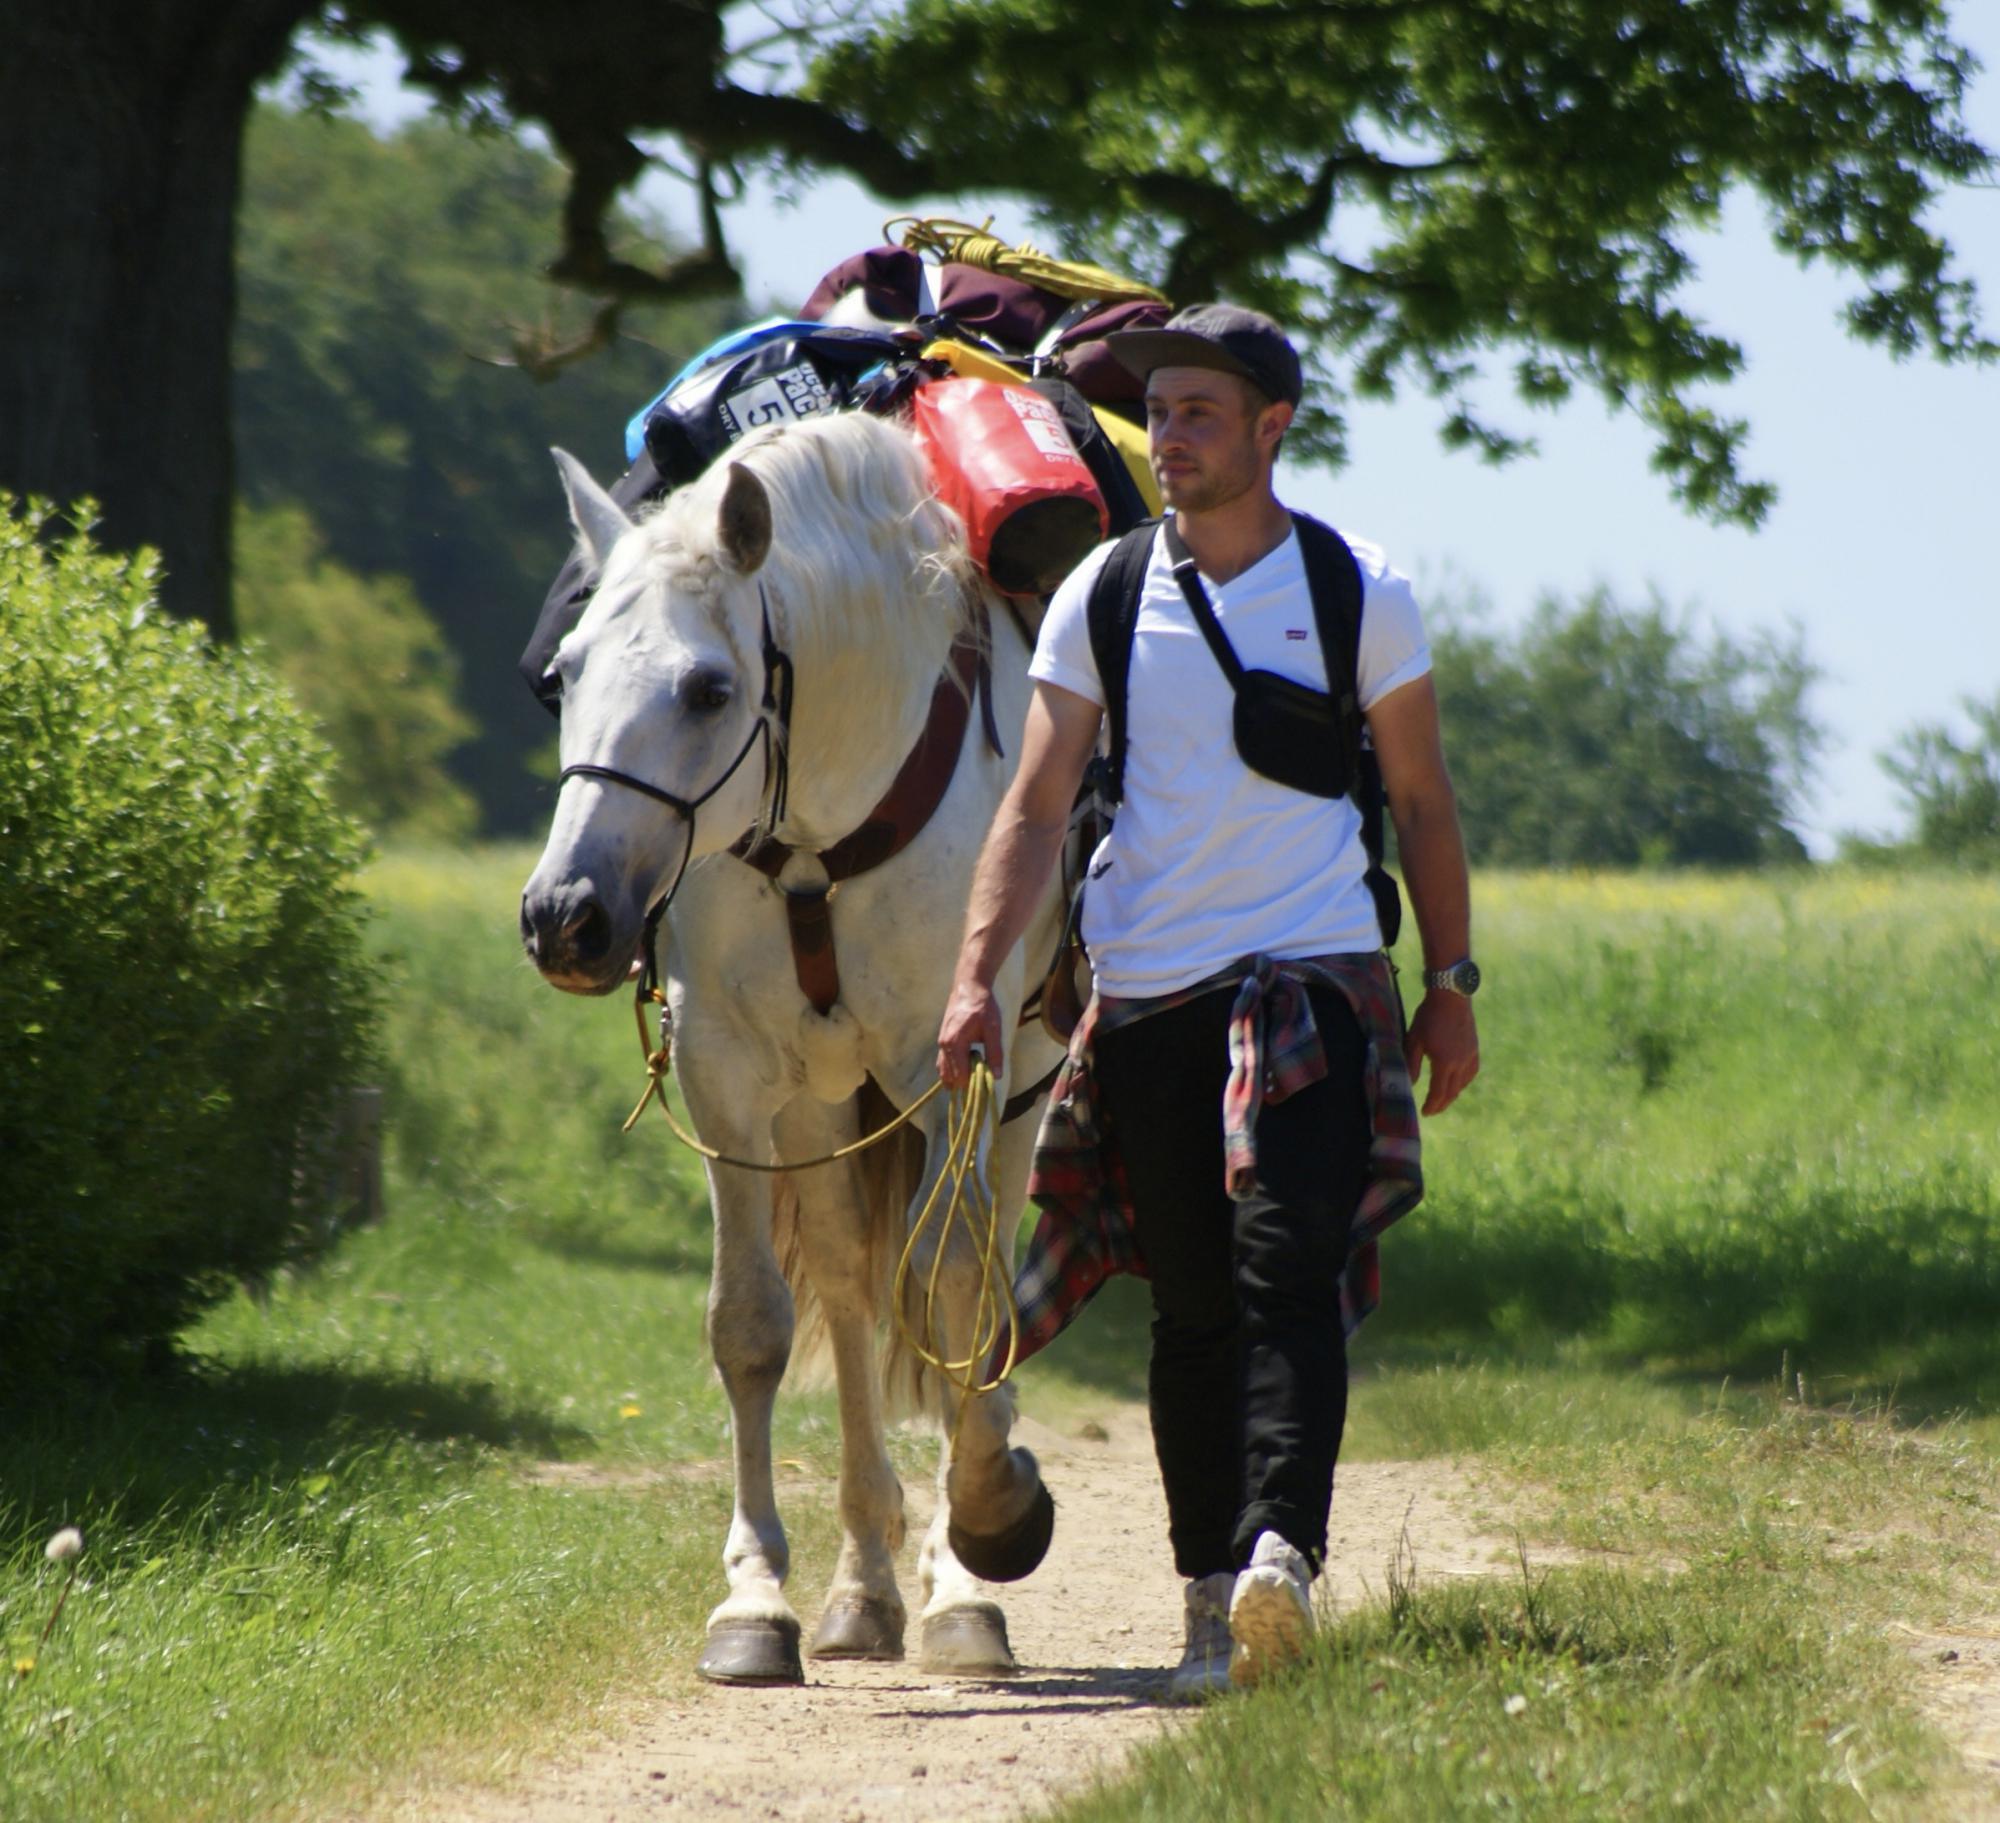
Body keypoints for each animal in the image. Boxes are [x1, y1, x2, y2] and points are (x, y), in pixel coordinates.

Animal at [524, 409, 1072, 1679]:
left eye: (706, 685)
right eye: (562, 674)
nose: (565, 913)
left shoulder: (954, 1068)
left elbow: (955, 1292)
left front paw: (985, 1530)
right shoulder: (726, 1080)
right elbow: (751, 1326)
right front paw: (754, 1599)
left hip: (1018, 1086)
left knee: (977, 1271)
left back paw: (960, 1560)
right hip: (826, 1103)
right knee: (849, 1277)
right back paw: (864, 1583)